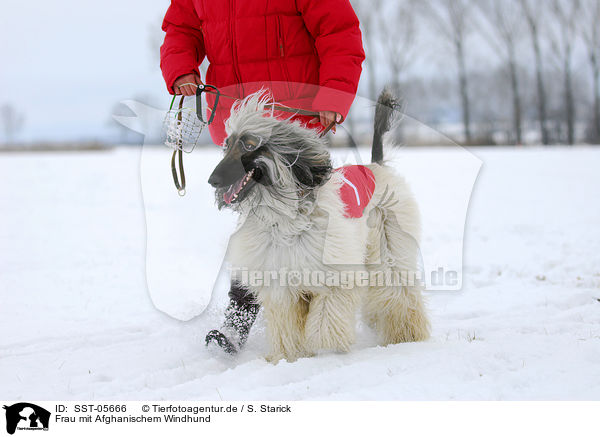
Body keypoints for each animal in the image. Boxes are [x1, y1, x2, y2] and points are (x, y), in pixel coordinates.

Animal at [209, 89, 428, 362]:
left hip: (389, 240)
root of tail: (376, 165)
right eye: (226, 145)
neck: (284, 219)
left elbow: (325, 319)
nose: (213, 180)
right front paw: (289, 355)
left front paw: (324, 347)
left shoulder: (334, 276)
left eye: (249, 144)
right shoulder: (281, 282)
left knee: (398, 290)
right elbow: (287, 324)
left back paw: (407, 334)